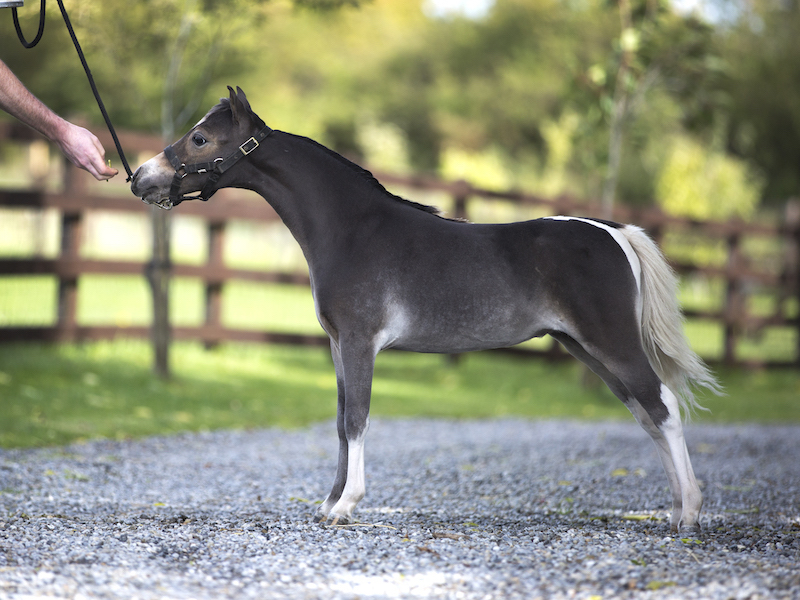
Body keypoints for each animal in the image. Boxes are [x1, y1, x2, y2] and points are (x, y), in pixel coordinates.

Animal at [131, 87, 721, 532]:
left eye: (200, 138)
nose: (141, 177)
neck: (354, 229)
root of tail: (613, 232)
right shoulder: (338, 346)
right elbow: (340, 421)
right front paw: (329, 503)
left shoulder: (360, 342)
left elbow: (357, 417)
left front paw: (346, 506)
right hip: (586, 348)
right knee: (648, 414)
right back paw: (674, 510)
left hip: (612, 342)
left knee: (664, 405)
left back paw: (689, 513)